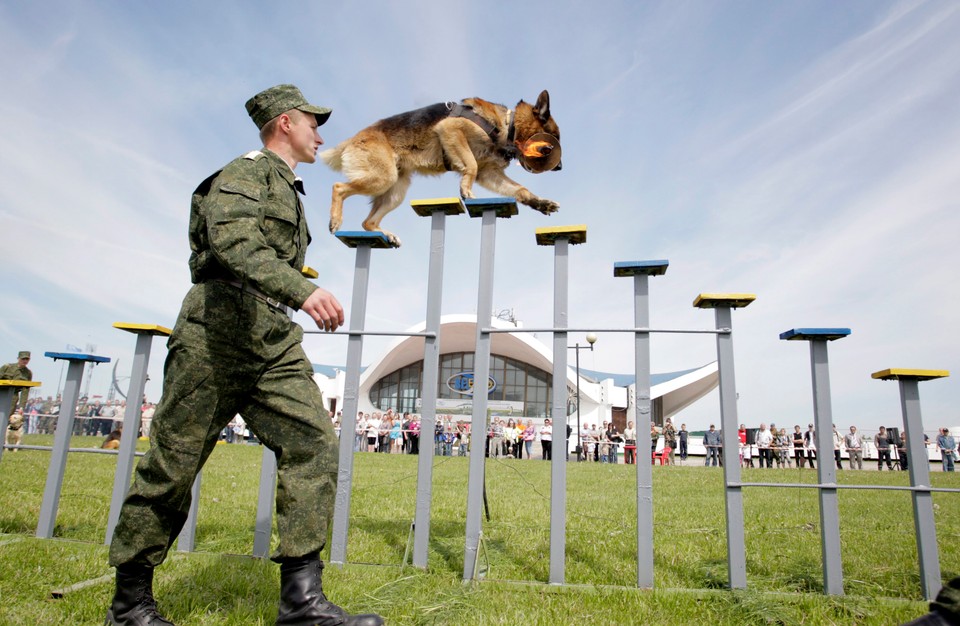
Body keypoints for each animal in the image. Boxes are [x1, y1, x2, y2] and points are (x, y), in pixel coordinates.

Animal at [322, 89, 564, 245]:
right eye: (553, 141)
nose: (560, 167)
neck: (507, 125)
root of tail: (354, 138)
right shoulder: (451, 130)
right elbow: (471, 165)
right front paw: (465, 190)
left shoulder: (490, 173)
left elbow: (519, 189)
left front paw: (540, 203)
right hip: (383, 177)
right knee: (338, 187)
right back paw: (335, 220)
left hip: (395, 191)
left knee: (367, 222)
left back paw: (386, 233)